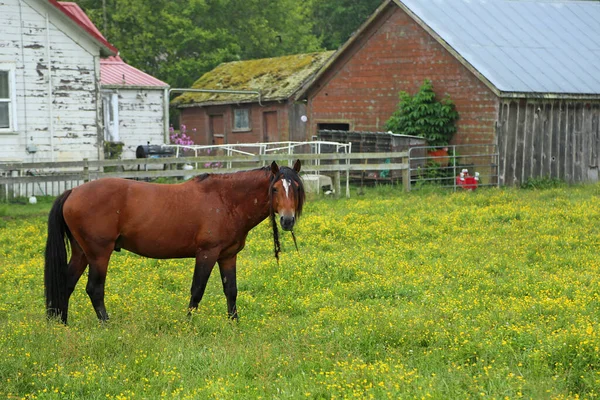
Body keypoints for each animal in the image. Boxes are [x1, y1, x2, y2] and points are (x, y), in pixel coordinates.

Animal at [45, 159, 304, 322]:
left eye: (296, 188)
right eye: (275, 189)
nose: (287, 220)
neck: (225, 200)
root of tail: (73, 192)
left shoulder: (228, 256)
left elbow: (231, 290)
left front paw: (234, 323)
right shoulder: (207, 253)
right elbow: (197, 290)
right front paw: (188, 324)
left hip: (82, 253)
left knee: (66, 285)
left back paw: (62, 324)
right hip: (99, 254)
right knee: (94, 289)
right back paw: (106, 324)